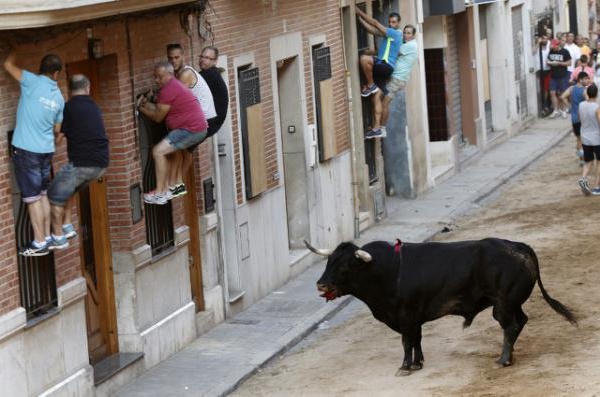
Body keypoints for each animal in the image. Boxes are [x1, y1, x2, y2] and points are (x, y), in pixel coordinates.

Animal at [304, 238, 576, 374]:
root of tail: (520, 246)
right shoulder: (414, 317)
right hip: (510, 303)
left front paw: (404, 367)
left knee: (510, 326)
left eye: (345, 265)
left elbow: (407, 341)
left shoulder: (406, 315)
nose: (320, 284)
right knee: (520, 322)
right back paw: (509, 356)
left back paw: (503, 359)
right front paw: (417, 363)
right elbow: (416, 339)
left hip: (503, 304)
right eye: (329, 261)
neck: (388, 270)